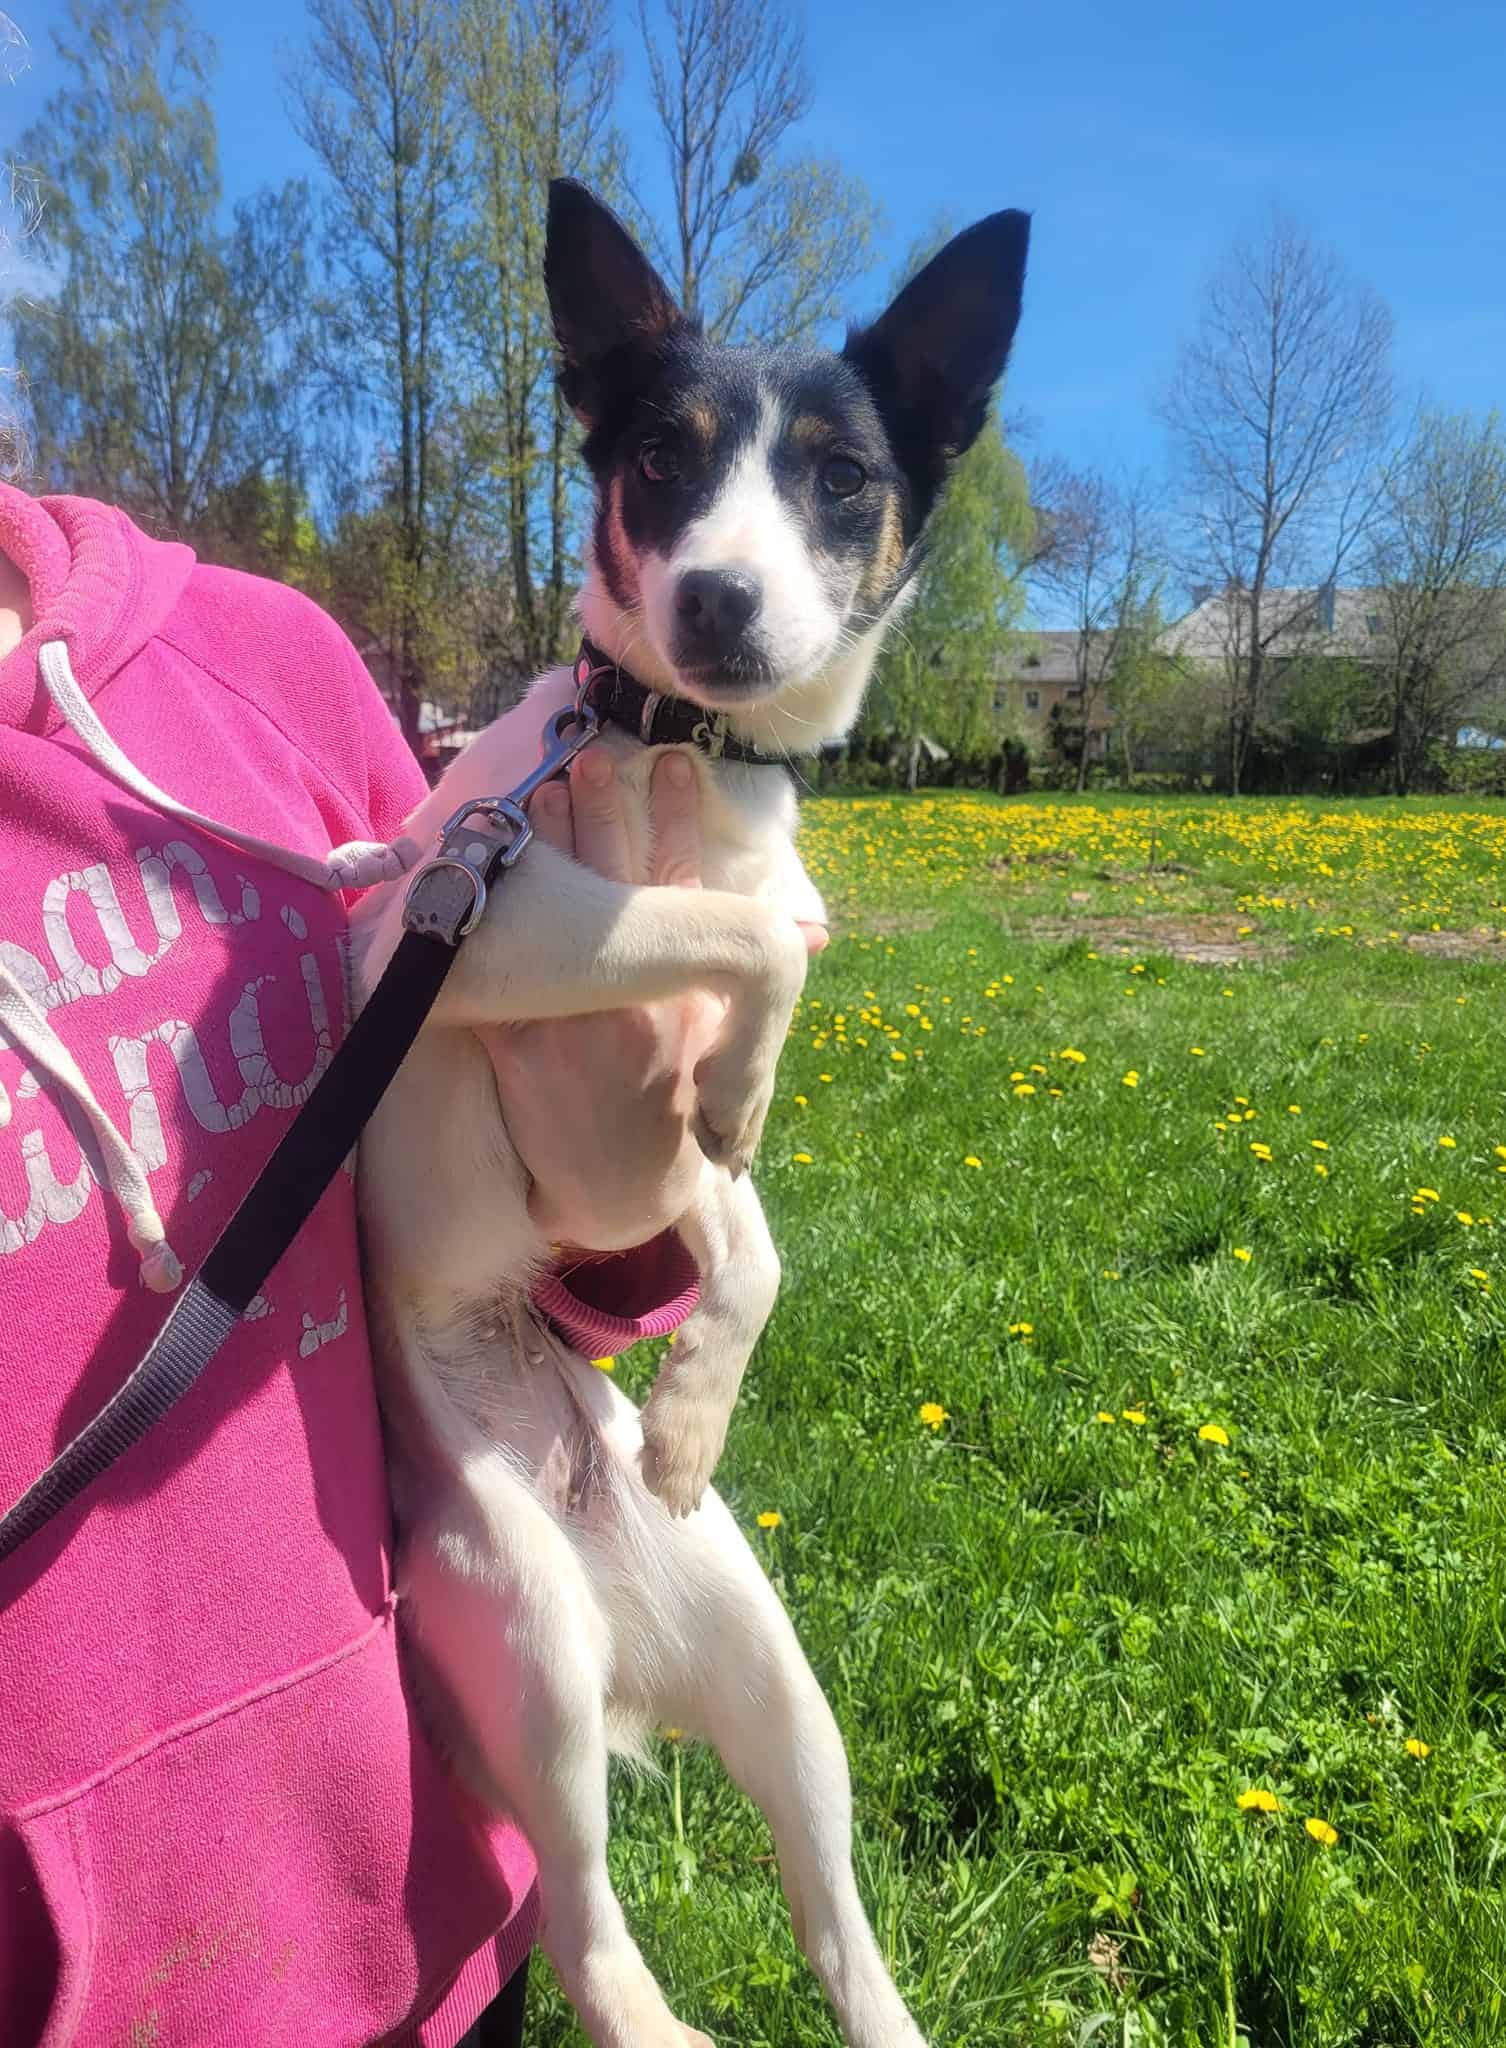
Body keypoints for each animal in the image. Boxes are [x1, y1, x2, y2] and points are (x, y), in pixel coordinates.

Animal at [353, 180, 1027, 2048]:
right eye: (661, 455)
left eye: (841, 477)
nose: (721, 600)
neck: (672, 756)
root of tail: (620, 1629)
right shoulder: (482, 915)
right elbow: (751, 937)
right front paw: (736, 1062)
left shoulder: (640, 1163)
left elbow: (746, 1213)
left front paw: (697, 1401)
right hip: (519, 1654)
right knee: (585, 1931)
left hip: (780, 1687)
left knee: (836, 1921)